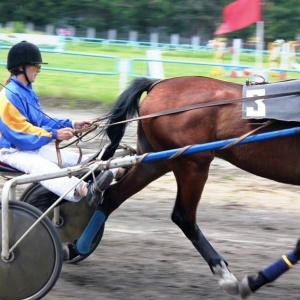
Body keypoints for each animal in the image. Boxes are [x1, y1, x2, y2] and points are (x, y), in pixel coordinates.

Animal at [97, 75, 298, 298]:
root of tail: (158, 84)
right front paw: (254, 282)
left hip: (156, 160)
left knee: (113, 195)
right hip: (193, 164)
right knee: (183, 216)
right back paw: (224, 273)